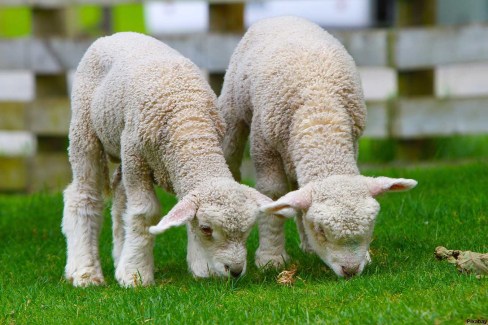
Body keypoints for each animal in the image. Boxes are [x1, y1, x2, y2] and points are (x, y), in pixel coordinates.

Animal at [61, 32, 276, 286]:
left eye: (248, 229)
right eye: (206, 229)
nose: (234, 270)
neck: (188, 123)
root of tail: (113, 35)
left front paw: (199, 267)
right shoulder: (136, 157)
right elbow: (145, 213)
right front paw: (136, 274)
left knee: (120, 197)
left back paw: (119, 256)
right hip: (85, 129)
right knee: (83, 195)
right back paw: (85, 272)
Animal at [219, 16, 418, 278]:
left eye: (371, 226)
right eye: (321, 231)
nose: (350, 271)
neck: (320, 115)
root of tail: (283, 16)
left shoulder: (352, 141)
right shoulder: (265, 147)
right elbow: (273, 194)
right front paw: (271, 258)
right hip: (234, 107)